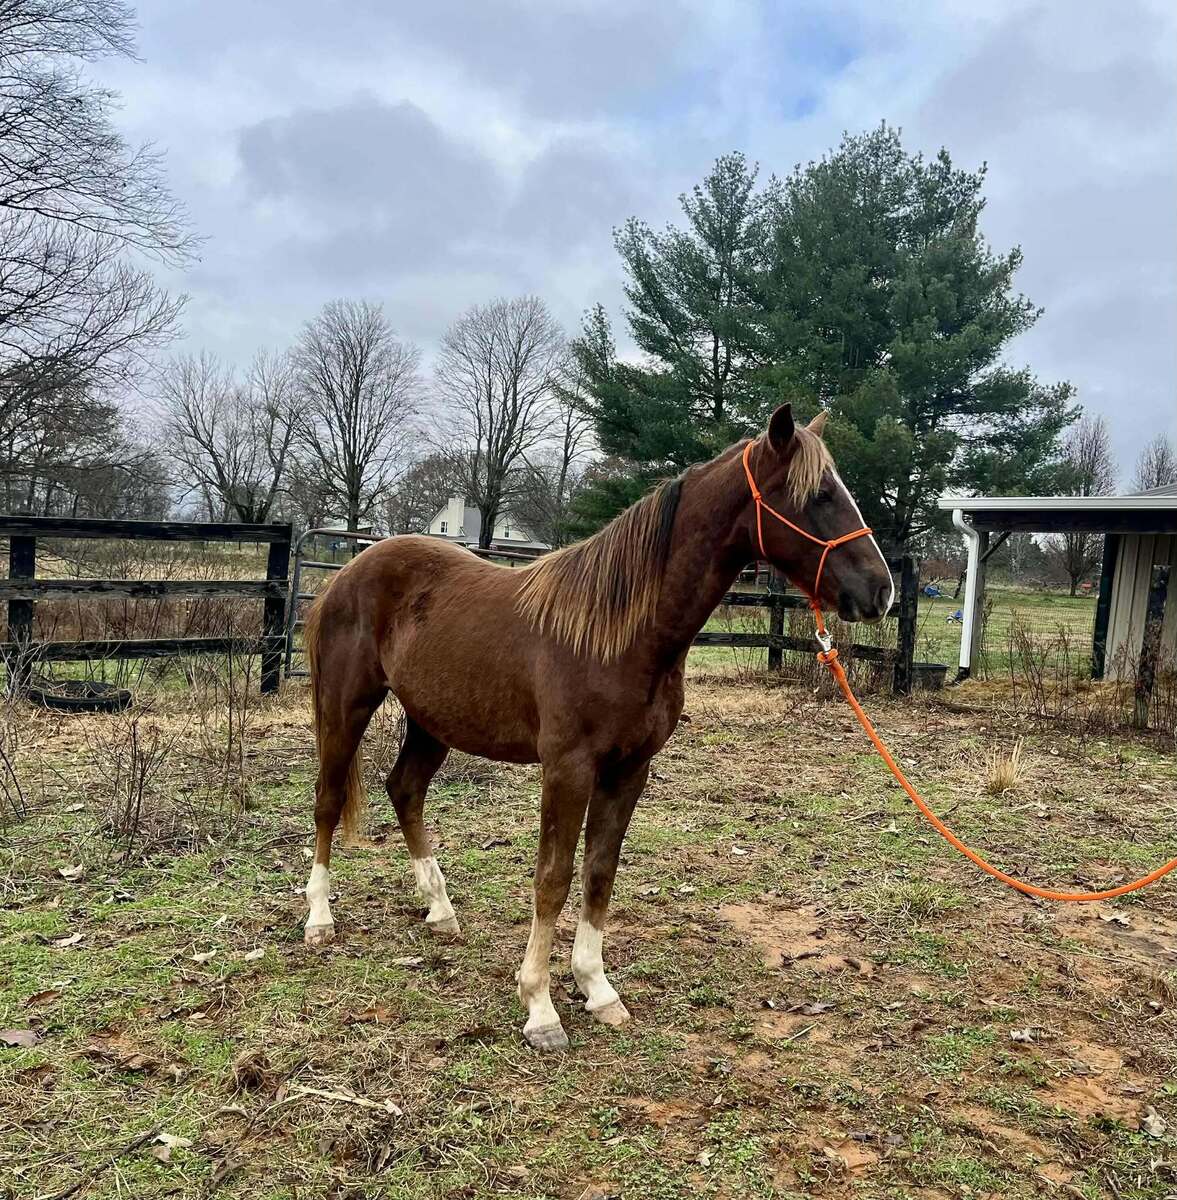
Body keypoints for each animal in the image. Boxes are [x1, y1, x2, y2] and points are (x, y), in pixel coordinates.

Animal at [300, 404, 893, 1050]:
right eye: (816, 496)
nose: (880, 591)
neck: (620, 632)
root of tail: (346, 573)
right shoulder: (568, 769)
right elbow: (554, 878)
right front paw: (539, 1007)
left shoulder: (630, 769)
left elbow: (599, 873)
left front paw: (597, 988)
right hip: (347, 707)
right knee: (329, 800)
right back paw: (319, 919)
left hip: (432, 721)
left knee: (404, 790)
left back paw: (440, 909)